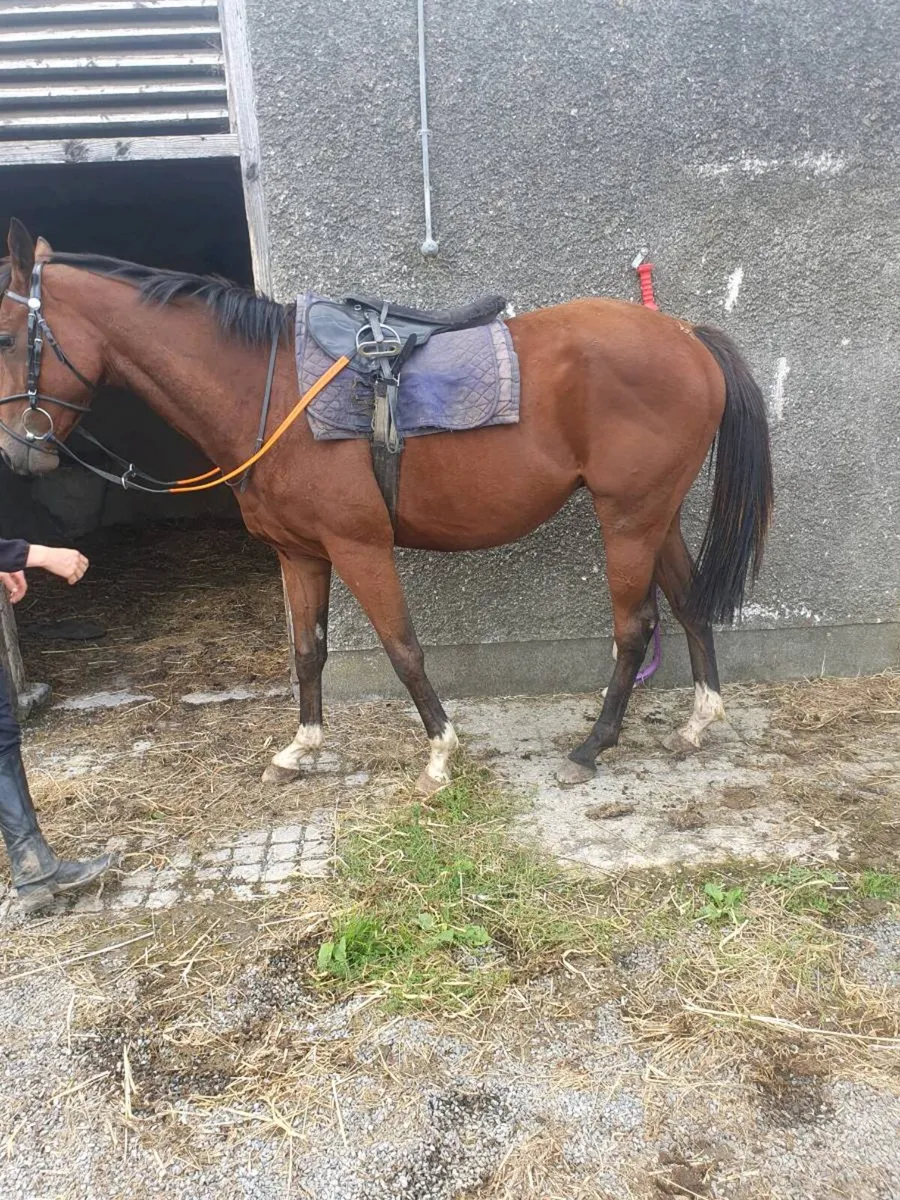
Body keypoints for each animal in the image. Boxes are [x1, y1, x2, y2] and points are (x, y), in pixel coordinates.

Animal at [0, 219, 773, 793]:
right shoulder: (300, 553)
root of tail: (687, 338)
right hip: (653, 515)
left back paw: (593, 745)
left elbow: (403, 650)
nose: (16, 452)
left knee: (635, 627)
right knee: (689, 603)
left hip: (628, 517)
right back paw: (697, 722)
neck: (267, 389)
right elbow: (307, 650)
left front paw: (440, 753)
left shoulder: (358, 546)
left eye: (8, 336)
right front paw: (301, 748)